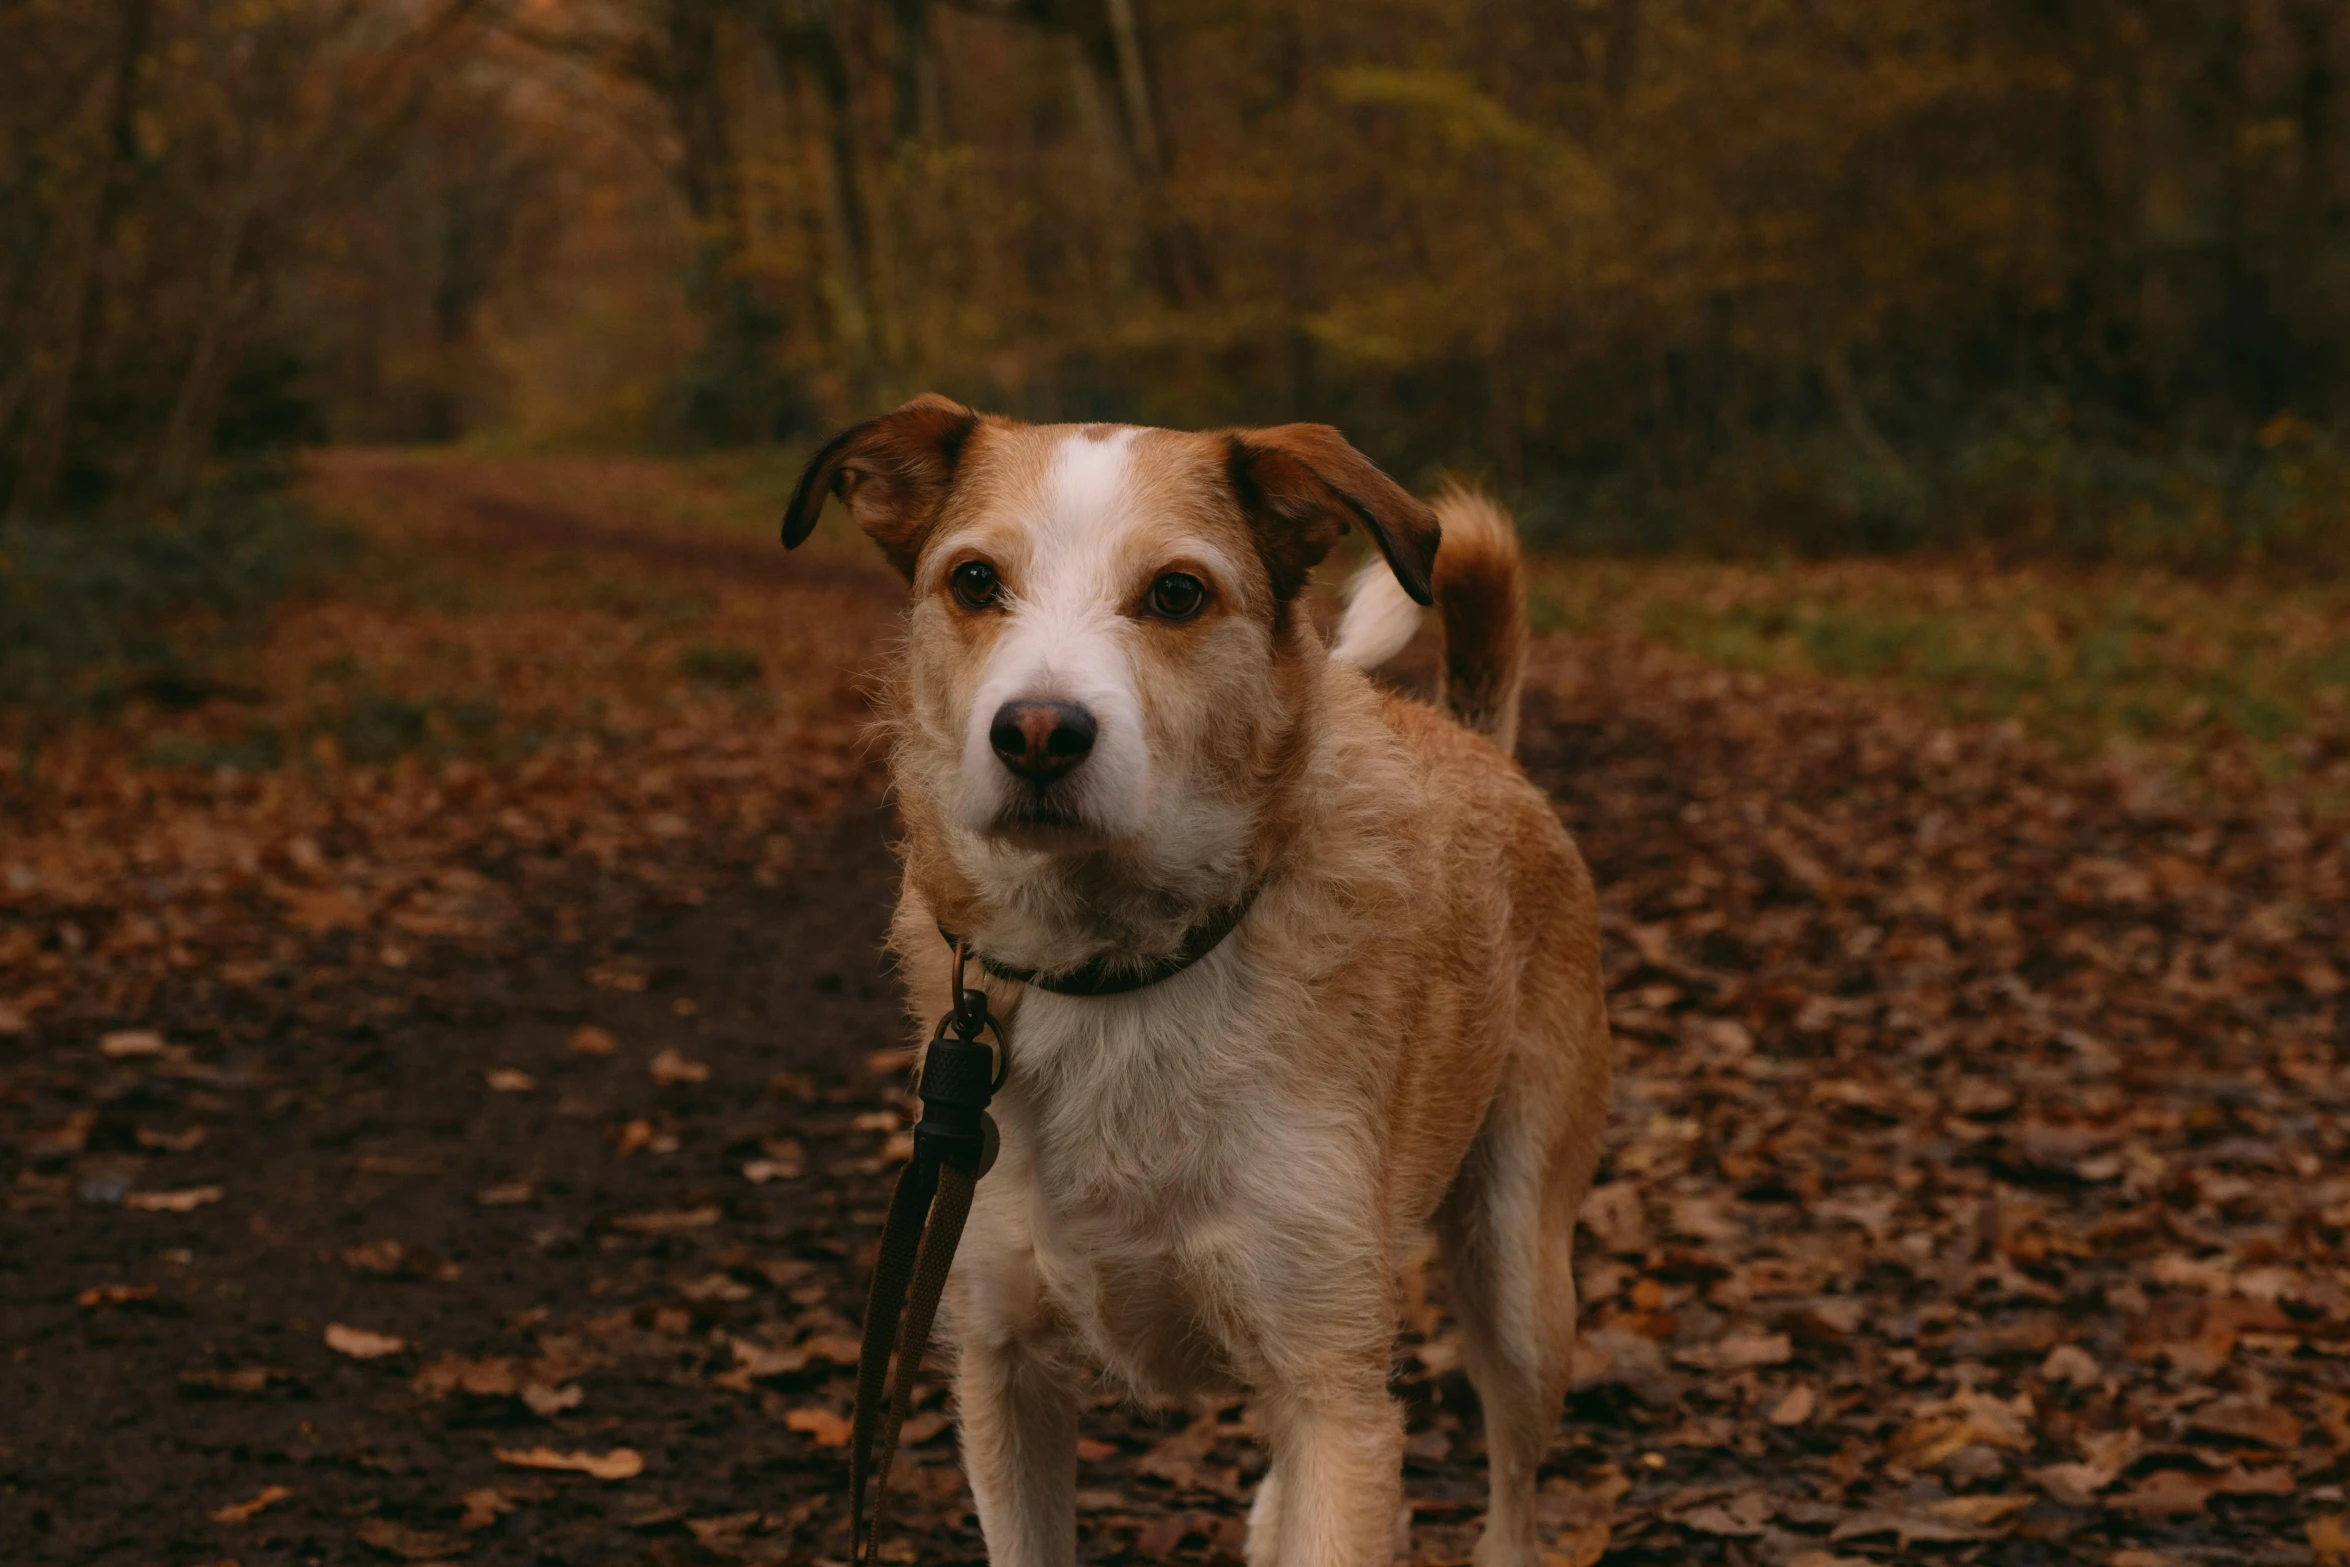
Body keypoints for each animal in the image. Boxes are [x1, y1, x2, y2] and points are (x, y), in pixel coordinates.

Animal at [780, 399, 1607, 1559]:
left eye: (1176, 593)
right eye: (975, 581)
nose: (1038, 732)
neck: (1121, 972)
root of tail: (1486, 751)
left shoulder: (1333, 1388)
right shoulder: (1002, 1364)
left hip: (1518, 1283)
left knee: (1514, 1499)